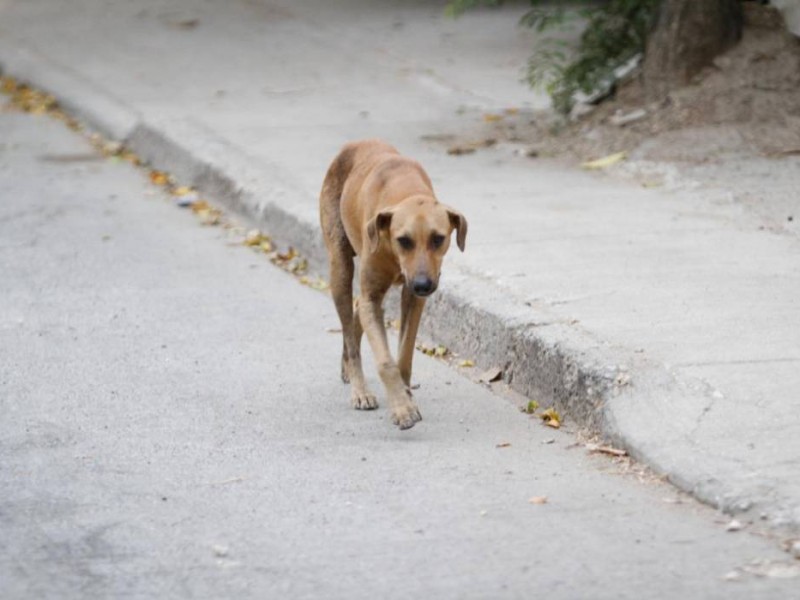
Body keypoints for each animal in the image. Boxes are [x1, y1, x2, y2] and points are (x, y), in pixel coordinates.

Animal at [320, 139, 468, 432]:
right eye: (404, 240)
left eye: (438, 238)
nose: (423, 284)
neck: (406, 191)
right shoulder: (373, 295)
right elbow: (385, 361)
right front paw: (402, 409)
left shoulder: (413, 300)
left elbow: (405, 355)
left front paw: (405, 395)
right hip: (340, 268)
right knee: (350, 329)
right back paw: (359, 388)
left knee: (356, 314)